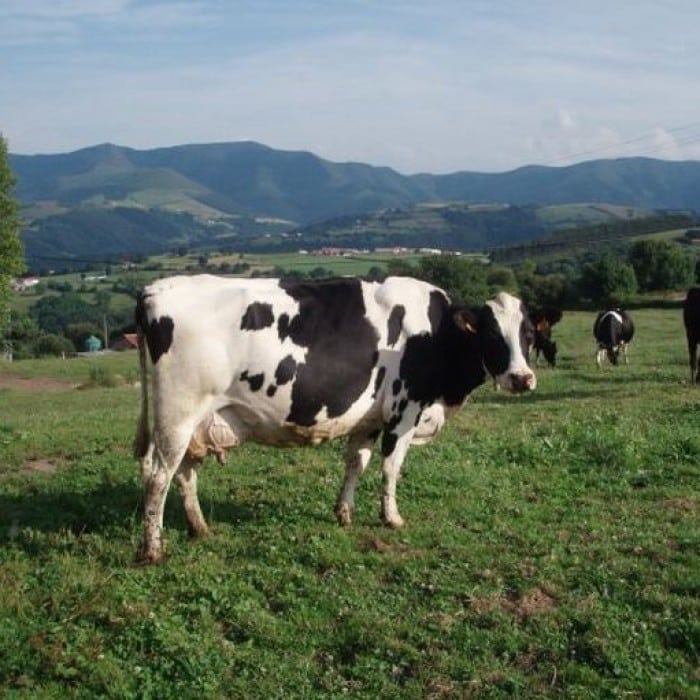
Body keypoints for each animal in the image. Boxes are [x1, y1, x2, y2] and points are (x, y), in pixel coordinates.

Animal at [133, 274, 536, 564]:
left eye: (529, 334)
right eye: (491, 334)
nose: (522, 378)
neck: (436, 334)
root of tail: (156, 288)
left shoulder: (369, 420)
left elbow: (356, 463)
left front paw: (344, 514)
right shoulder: (404, 411)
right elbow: (391, 467)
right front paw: (392, 518)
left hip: (194, 423)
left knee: (183, 473)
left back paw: (200, 529)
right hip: (178, 413)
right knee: (157, 476)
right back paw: (153, 550)